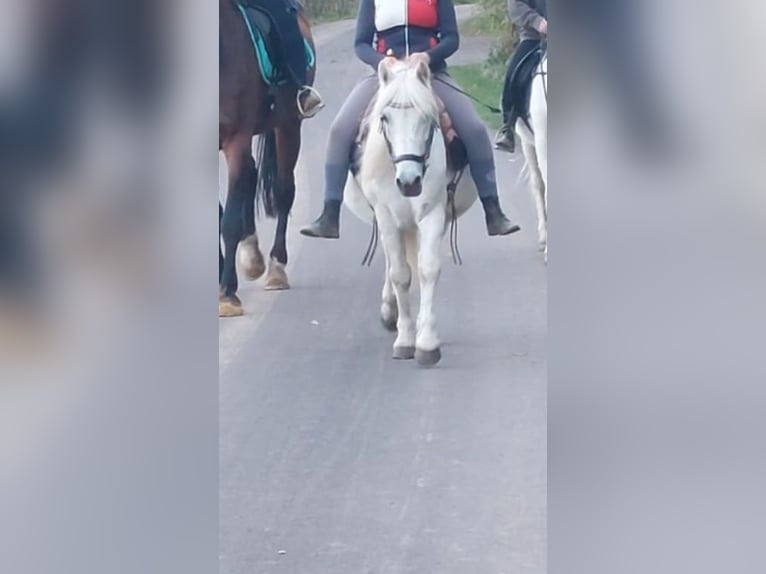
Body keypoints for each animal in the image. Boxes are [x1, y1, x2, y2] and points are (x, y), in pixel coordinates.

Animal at [218, 0, 316, 320]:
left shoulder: (236, 138)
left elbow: (229, 221)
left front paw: (227, 293)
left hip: (288, 125)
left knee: (284, 190)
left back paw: (276, 269)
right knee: (250, 178)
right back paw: (252, 257)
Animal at [344, 56, 476, 366]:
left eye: (428, 118)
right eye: (384, 119)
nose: (409, 182)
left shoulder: (432, 213)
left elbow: (427, 270)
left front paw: (426, 342)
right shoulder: (386, 216)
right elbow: (400, 274)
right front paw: (405, 340)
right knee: (392, 260)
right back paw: (389, 312)